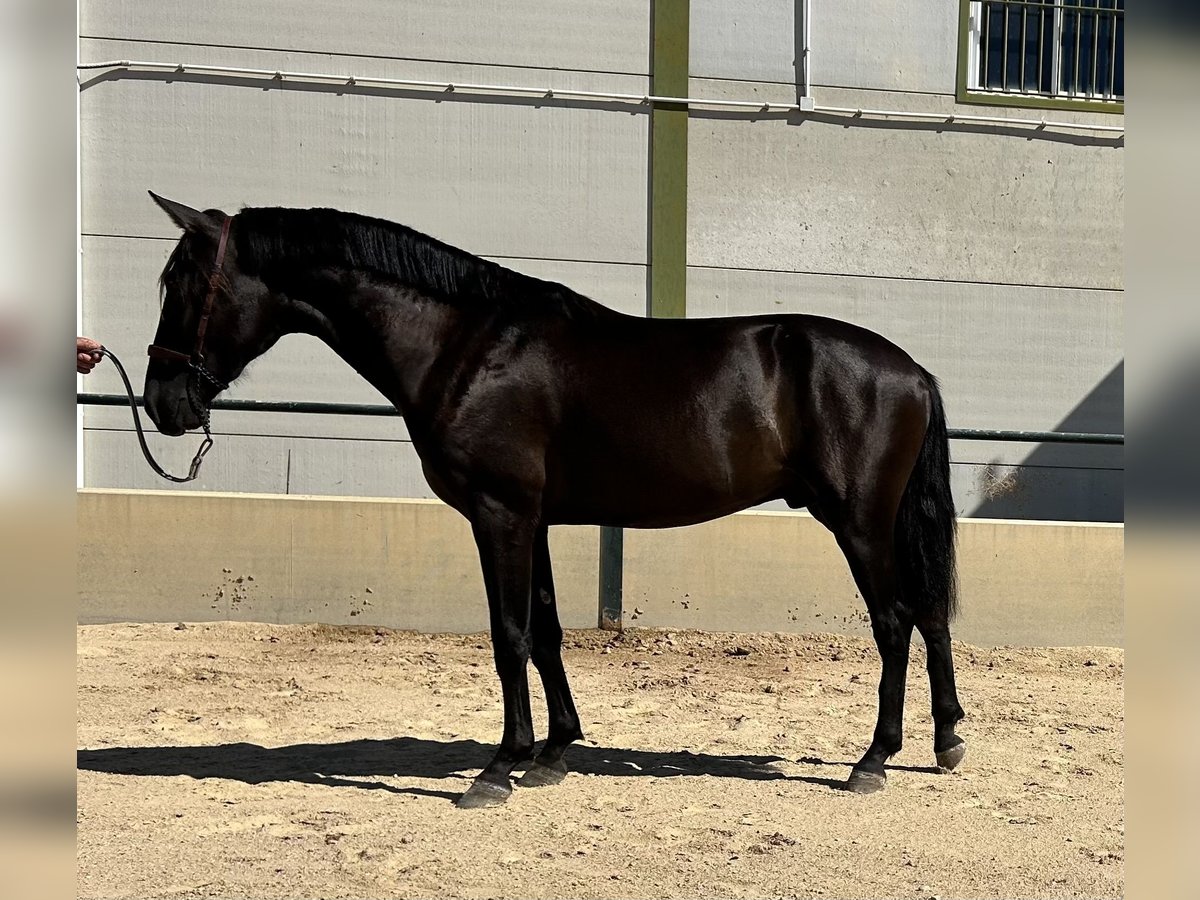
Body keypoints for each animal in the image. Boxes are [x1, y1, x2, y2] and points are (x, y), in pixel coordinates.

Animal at [142, 192, 966, 808]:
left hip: (859, 523)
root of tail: (912, 371)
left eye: (181, 285)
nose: (162, 403)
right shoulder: (529, 520)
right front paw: (554, 751)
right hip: (884, 524)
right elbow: (545, 631)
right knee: (928, 614)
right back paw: (947, 739)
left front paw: (499, 767)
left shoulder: (497, 515)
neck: (464, 344)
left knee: (895, 622)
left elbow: (508, 635)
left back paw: (874, 759)